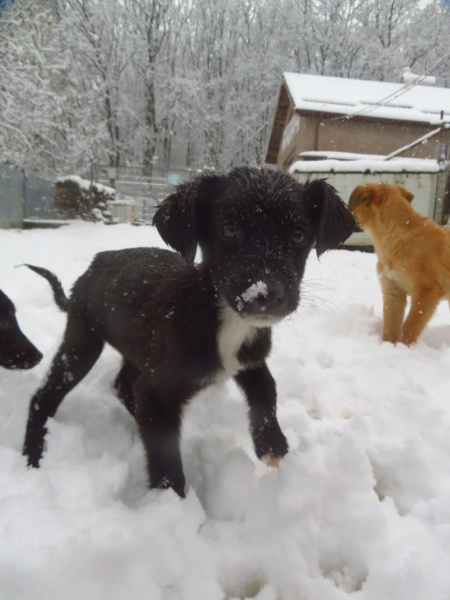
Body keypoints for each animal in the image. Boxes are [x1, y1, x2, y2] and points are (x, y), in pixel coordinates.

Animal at [22, 166, 356, 494]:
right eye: (229, 230)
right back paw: (33, 454)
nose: (267, 294)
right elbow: (166, 460)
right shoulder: (157, 390)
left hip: (136, 348)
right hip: (82, 341)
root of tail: (95, 263)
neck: (223, 316)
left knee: (124, 385)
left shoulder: (247, 358)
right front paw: (170, 502)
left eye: (298, 235)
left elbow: (267, 386)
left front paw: (271, 443)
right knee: (44, 395)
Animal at [350, 180, 450, 344]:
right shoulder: (393, 292)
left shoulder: (427, 292)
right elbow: (390, 328)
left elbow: (409, 327)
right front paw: (388, 347)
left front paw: (402, 347)